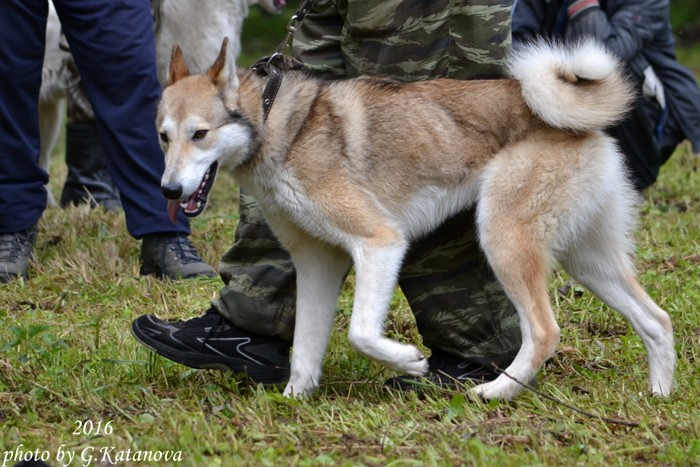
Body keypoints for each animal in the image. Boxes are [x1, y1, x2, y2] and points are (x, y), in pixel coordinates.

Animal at [156, 38, 676, 400]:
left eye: (200, 134)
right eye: (163, 136)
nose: (168, 190)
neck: (277, 124)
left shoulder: (380, 242)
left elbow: (361, 333)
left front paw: (408, 363)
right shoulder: (315, 263)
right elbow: (304, 347)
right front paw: (294, 400)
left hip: (504, 241)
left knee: (545, 333)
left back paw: (496, 391)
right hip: (586, 260)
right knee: (656, 320)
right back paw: (659, 394)